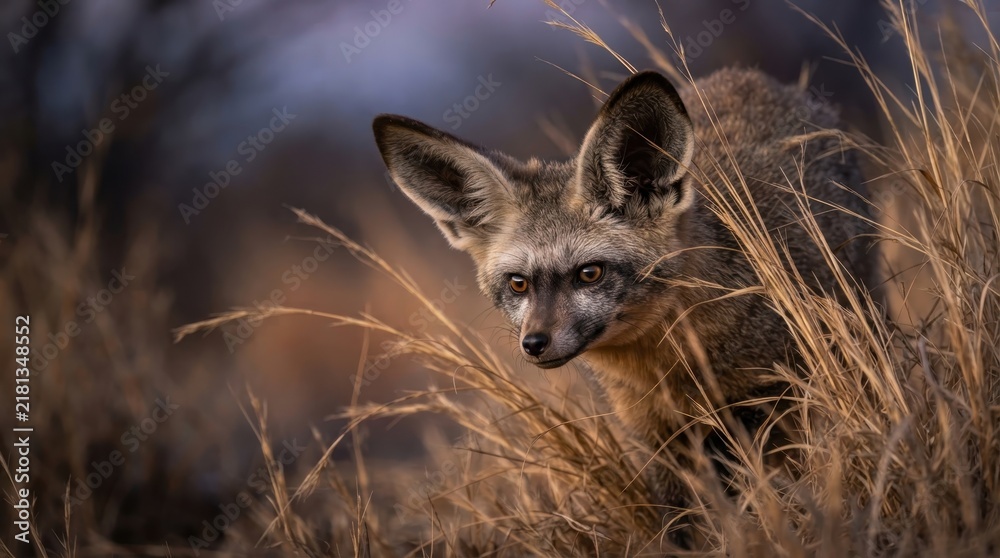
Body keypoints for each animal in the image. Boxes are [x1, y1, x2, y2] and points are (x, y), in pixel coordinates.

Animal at [373, 68, 873, 528]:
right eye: (518, 284)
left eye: (589, 273)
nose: (534, 344)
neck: (680, 367)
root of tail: (748, 75)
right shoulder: (656, 435)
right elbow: (685, 527)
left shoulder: (776, 401)